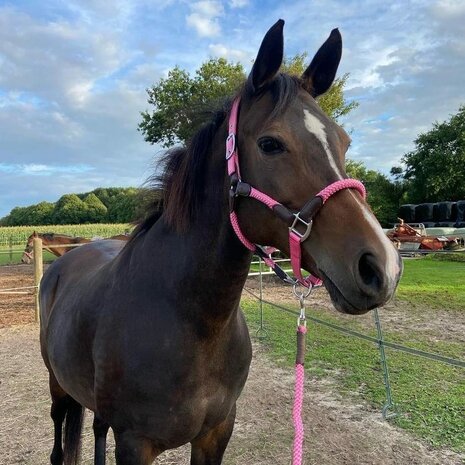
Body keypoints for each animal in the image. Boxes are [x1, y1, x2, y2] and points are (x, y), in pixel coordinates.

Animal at [40, 20, 400, 464]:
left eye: (344, 141)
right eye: (270, 144)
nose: (382, 266)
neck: (191, 324)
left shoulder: (217, 431)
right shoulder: (134, 443)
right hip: (57, 387)